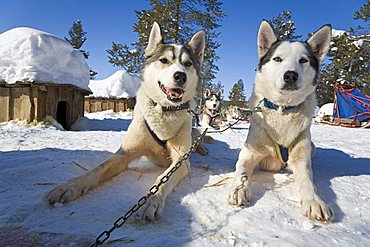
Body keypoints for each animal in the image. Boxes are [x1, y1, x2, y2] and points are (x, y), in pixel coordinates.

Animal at [45, 22, 207, 221]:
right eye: (164, 61)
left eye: (188, 64)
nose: (180, 76)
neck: (164, 112)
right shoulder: (125, 153)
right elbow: (97, 169)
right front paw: (69, 186)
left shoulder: (181, 161)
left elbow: (162, 180)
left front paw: (153, 200)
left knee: (198, 138)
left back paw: (203, 148)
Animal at [228, 20, 336, 223]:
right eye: (277, 59)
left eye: (303, 60)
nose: (291, 75)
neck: (283, 110)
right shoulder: (250, 153)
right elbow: (242, 170)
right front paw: (239, 188)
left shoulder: (301, 159)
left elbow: (307, 181)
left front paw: (314, 201)